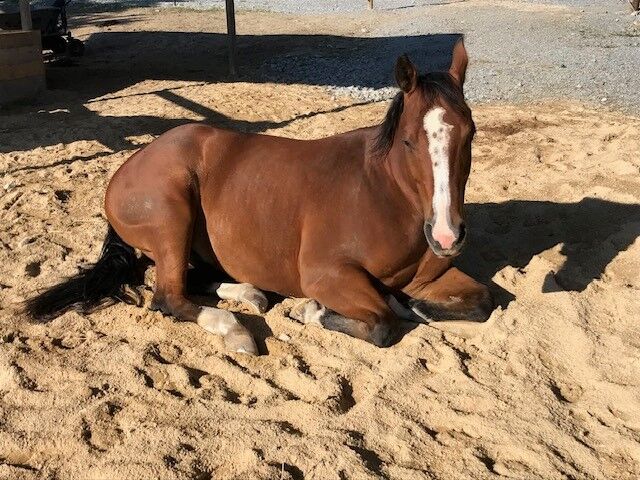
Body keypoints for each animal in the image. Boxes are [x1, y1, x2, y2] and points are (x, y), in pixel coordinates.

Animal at [25, 41, 496, 354]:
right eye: (410, 142)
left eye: (470, 133)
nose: (447, 236)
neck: (383, 195)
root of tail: (129, 165)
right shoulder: (327, 274)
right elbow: (381, 323)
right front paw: (314, 312)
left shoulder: (430, 277)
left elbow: (481, 301)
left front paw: (409, 303)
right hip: (172, 215)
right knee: (168, 297)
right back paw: (236, 329)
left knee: (190, 279)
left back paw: (252, 294)